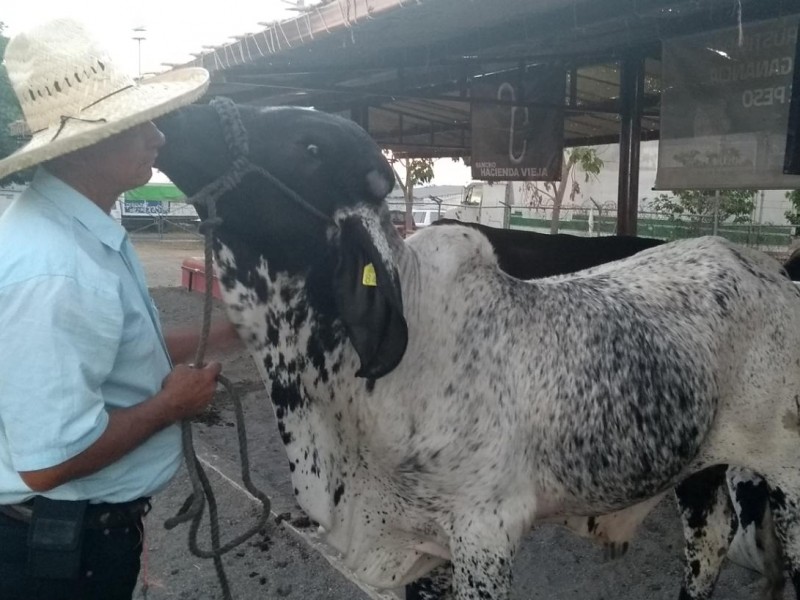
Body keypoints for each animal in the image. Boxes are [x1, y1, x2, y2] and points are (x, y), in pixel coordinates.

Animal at [153, 99, 800, 600]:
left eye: (308, 146)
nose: (180, 116)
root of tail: (770, 270)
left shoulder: (485, 534)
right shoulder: (422, 540)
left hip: (788, 477)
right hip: (700, 465)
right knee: (709, 541)